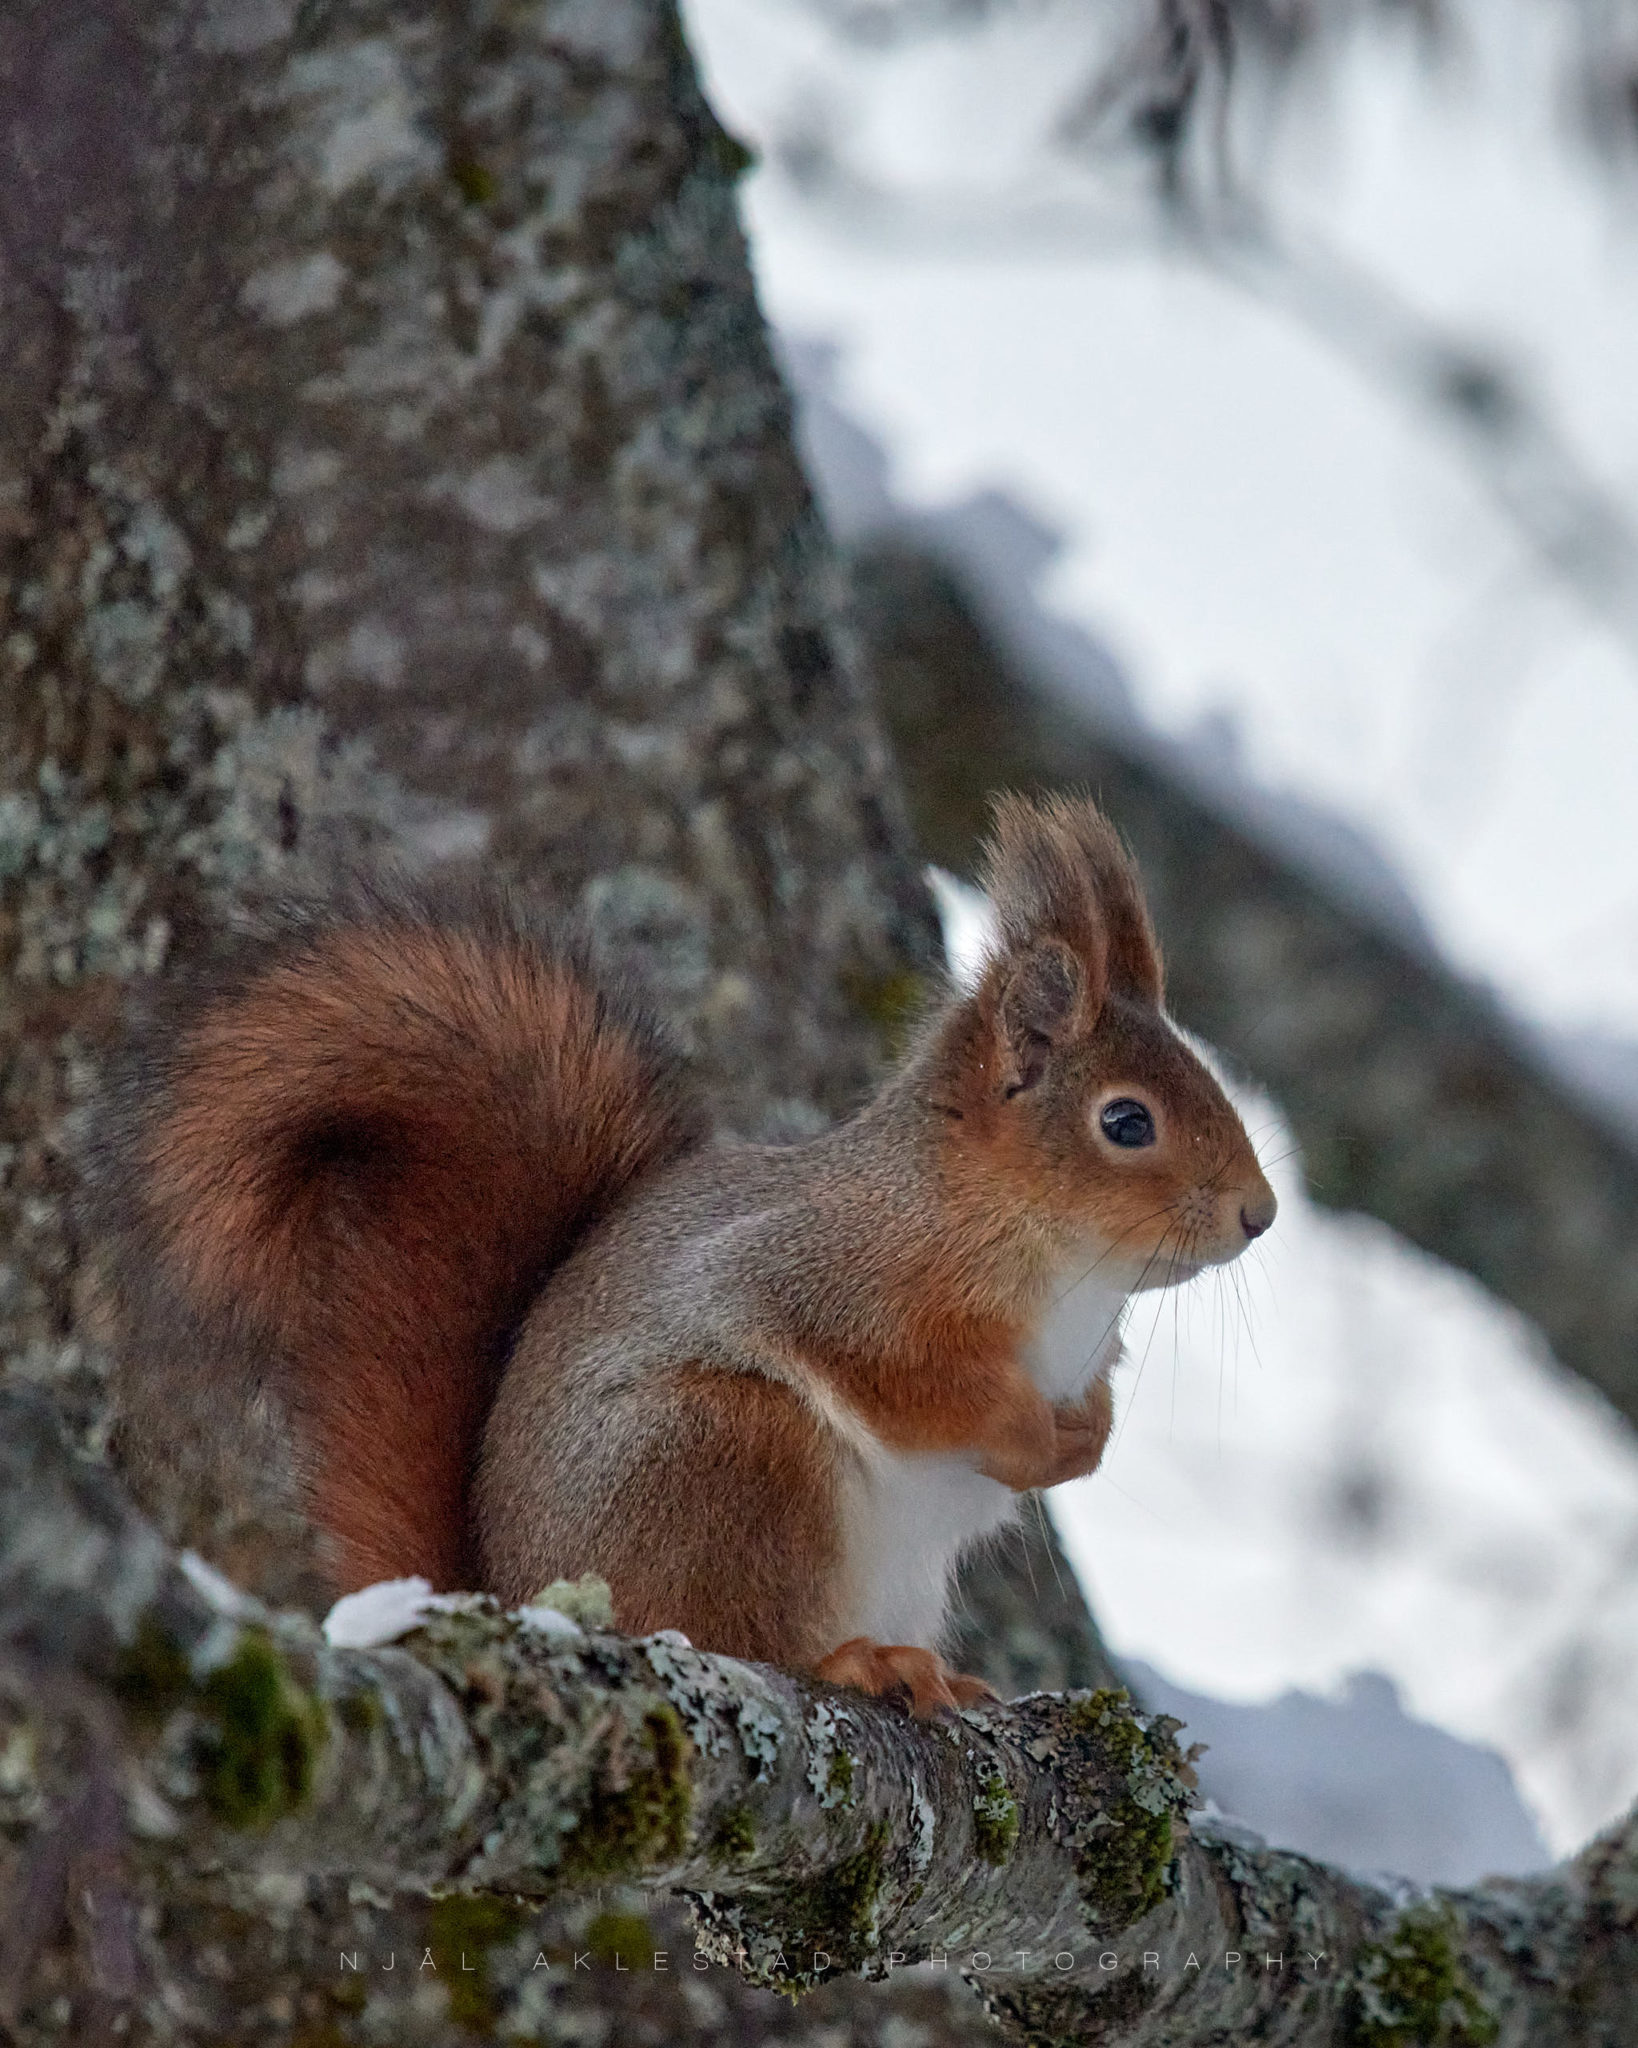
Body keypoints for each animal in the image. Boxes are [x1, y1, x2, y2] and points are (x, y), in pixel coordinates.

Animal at [99, 798, 1277, 1712]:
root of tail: (525, 1596)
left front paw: (1086, 1438)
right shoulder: (844, 1279)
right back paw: (858, 1662)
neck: (1059, 1267)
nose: (1260, 1214)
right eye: (1126, 1122)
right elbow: (915, 1383)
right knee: (735, 1632)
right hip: (730, 1453)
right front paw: (1032, 1438)